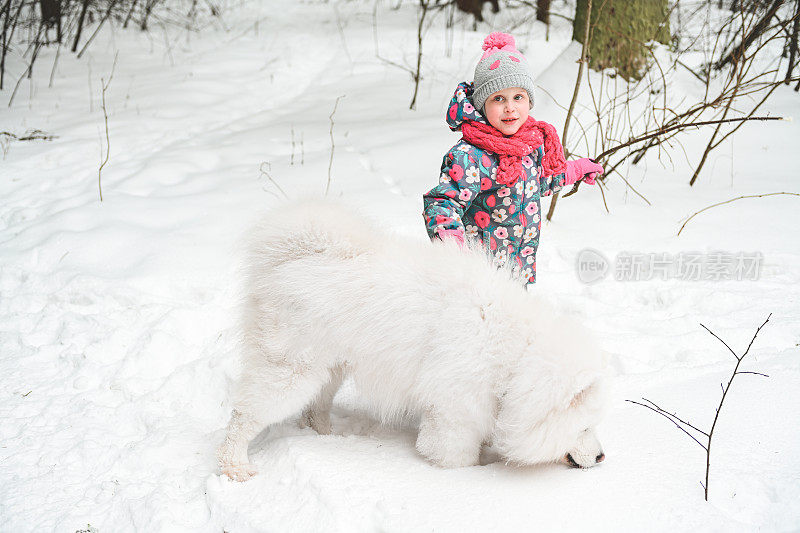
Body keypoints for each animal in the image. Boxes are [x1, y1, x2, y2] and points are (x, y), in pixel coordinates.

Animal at [217, 201, 608, 482]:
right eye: (585, 427)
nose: (603, 456)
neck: (515, 356)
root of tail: (290, 259)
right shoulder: (453, 411)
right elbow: (455, 456)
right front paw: (475, 473)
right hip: (291, 370)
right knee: (244, 415)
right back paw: (234, 466)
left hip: (330, 366)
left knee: (316, 408)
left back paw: (329, 437)